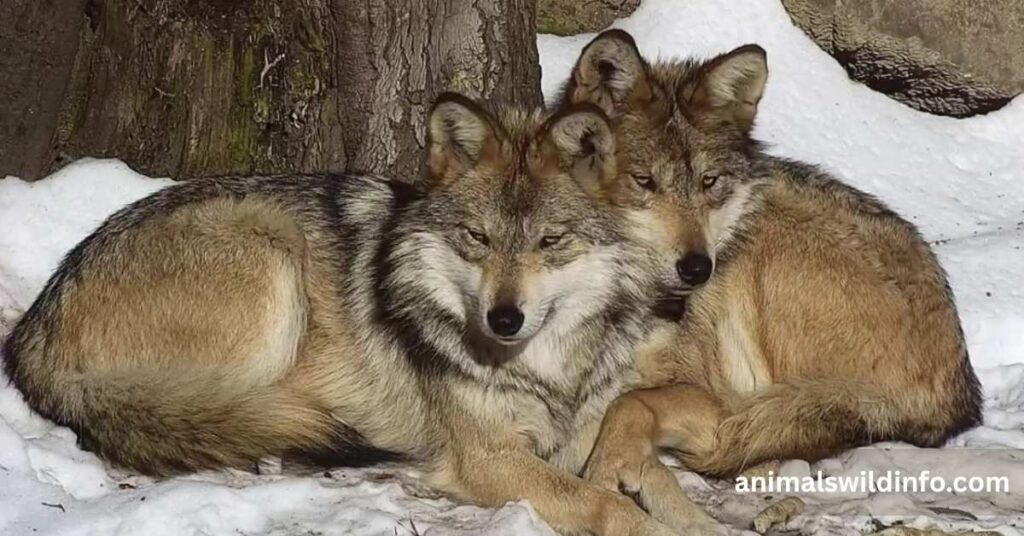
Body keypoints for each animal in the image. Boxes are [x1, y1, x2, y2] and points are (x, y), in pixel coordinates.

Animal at [3, 92, 718, 535]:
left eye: (550, 241)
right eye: (477, 238)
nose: (503, 319)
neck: (547, 370)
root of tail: (33, 328)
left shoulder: (585, 433)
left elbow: (660, 483)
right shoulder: (489, 458)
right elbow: (603, 505)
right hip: (272, 257)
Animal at [559, 30, 983, 495]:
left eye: (709, 182)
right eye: (644, 181)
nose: (698, 269)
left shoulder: (715, 400)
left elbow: (630, 402)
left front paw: (607, 470)